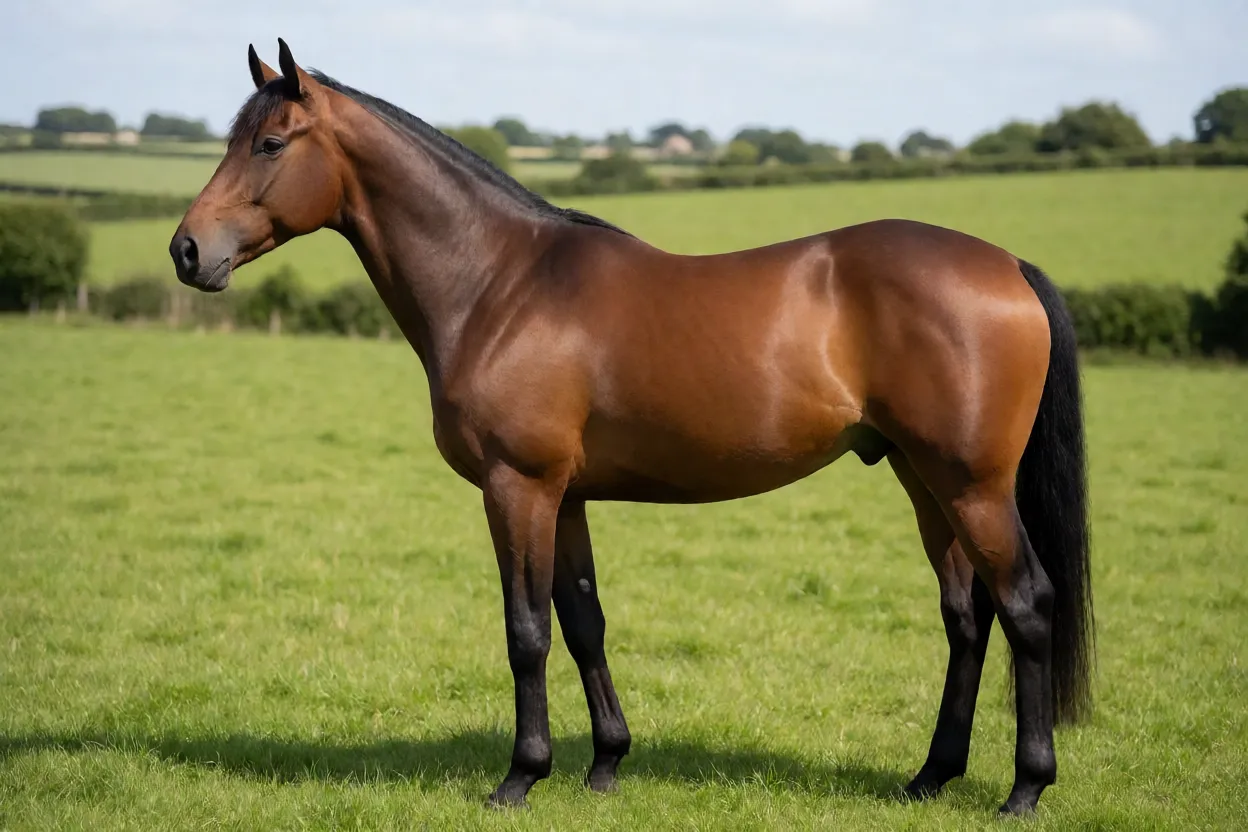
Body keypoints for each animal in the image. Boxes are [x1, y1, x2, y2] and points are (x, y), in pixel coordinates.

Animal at [171, 40, 1094, 815]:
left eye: (269, 144)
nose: (186, 251)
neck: (500, 284)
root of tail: (1008, 266)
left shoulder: (518, 488)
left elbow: (527, 631)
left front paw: (520, 776)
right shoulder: (567, 496)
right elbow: (584, 623)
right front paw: (606, 763)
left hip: (974, 488)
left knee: (1026, 604)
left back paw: (1025, 789)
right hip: (923, 479)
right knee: (966, 617)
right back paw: (930, 776)